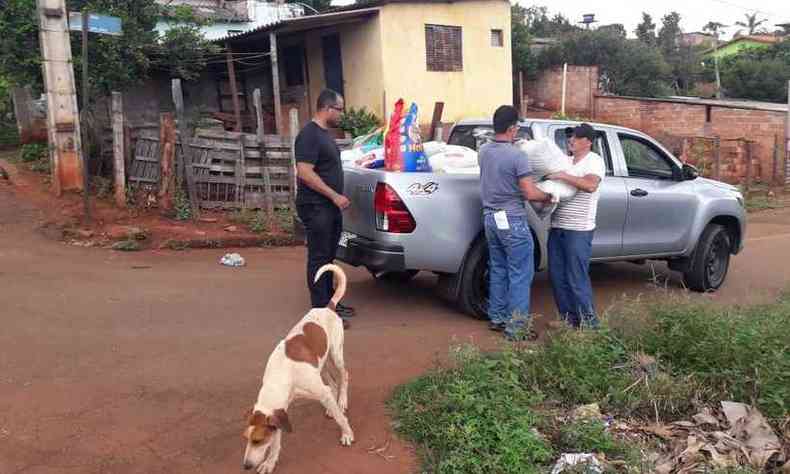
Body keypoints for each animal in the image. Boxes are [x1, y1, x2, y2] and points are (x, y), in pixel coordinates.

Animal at [241, 264, 352, 472]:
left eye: (258, 440)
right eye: (246, 439)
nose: (246, 465)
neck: (283, 374)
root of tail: (328, 307)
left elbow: (341, 419)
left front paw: (347, 433)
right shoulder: (282, 410)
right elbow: (276, 442)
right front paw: (270, 462)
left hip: (336, 355)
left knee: (344, 376)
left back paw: (341, 402)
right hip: (320, 363)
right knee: (332, 383)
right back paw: (332, 406)